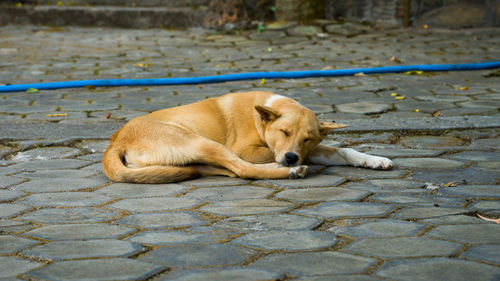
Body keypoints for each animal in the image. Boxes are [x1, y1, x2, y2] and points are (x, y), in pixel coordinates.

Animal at [103, 92, 394, 183]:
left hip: (197, 160)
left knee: (232, 171)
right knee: (243, 169)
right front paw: (288, 164)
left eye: (308, 138)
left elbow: (343, 150)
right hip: (203, 142)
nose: (291, 157)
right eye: (284, 132)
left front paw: (374, 160)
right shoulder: (247, 149)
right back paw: (290, 171)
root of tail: (116, 141)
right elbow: (258, 158)